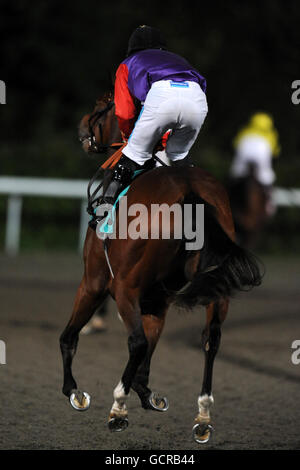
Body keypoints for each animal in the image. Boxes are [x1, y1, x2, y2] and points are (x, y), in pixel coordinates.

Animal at [59, 92, 262, 444]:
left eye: (102, 105)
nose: (83, 125)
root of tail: (188, 191)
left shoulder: (95, 281)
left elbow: (70, 336)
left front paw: (75, 391)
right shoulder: (158, 298)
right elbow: (151, 347)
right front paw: (146, 393)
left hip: (122, 286)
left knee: (136, 341)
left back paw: (118, 409)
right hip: (215, 291)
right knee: (211, 339)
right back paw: (202, 417)